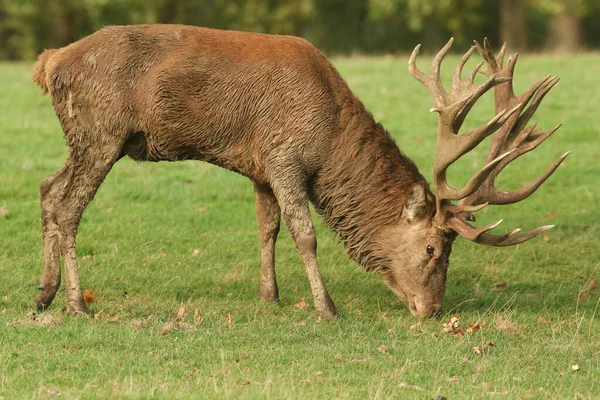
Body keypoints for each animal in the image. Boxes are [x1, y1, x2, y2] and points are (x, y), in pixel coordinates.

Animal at [32, 25, 568, 318]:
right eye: (434, 248)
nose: (432, 310)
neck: (329, 137)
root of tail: (49, 62)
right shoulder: (286, 157)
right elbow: (305, 234)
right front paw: (326, 306)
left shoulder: (259, 166)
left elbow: (266, 228)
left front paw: (269, 296)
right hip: (102, 133)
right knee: (69, 208)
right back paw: (78, 303)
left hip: (86, 140)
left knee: (46, 189)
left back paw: (44, 294)